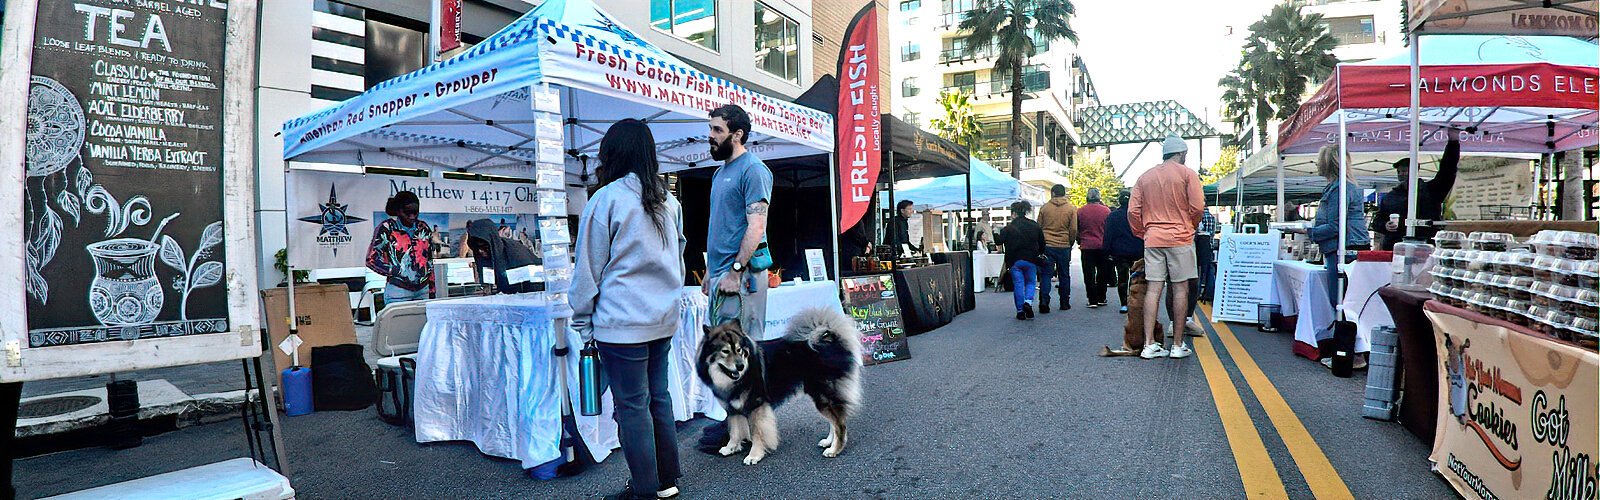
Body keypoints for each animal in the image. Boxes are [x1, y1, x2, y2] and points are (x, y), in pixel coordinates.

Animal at [691, 306, 857, 467]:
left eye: (739, 350)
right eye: (725, 351)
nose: (740, 366)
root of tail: (830, 340)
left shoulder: (756, 406)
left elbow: (756, 433)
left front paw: (754, 455)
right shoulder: (732, 409)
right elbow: (734, 430)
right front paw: (730, 447)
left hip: (822, 396)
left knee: (839, 424)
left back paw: (835, 449)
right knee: (835, 421)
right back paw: (829, 442)